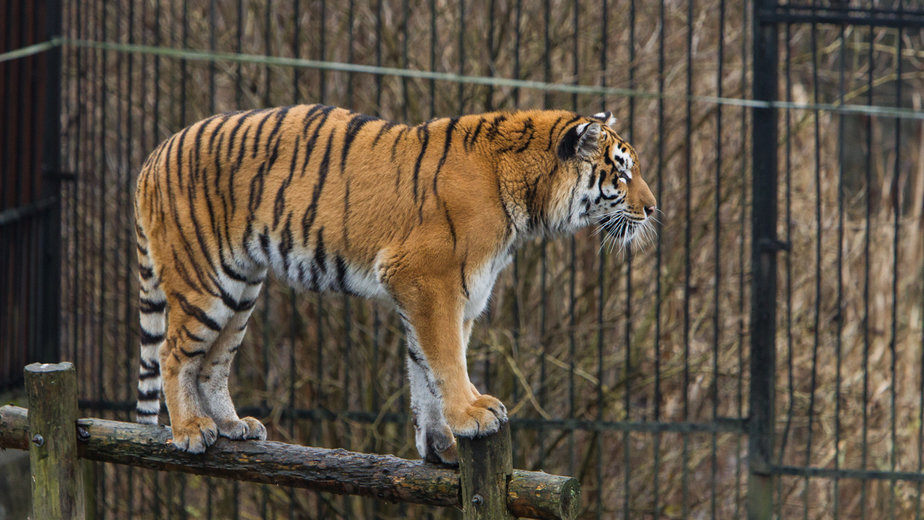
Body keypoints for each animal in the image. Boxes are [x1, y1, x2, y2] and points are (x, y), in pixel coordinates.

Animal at [135, 104, 656, 464]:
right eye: (622, 172)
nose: (653, 208)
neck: (527, 201)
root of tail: (154, 155)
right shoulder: (428, 279)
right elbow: (446, 359)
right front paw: (473, 415)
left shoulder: (454, 291)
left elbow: (423, 371)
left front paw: (442, 445)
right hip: (204, 280)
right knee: (172, 354)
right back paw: (190, 430)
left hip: (242, 287)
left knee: (213, 362)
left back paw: (232, 426)